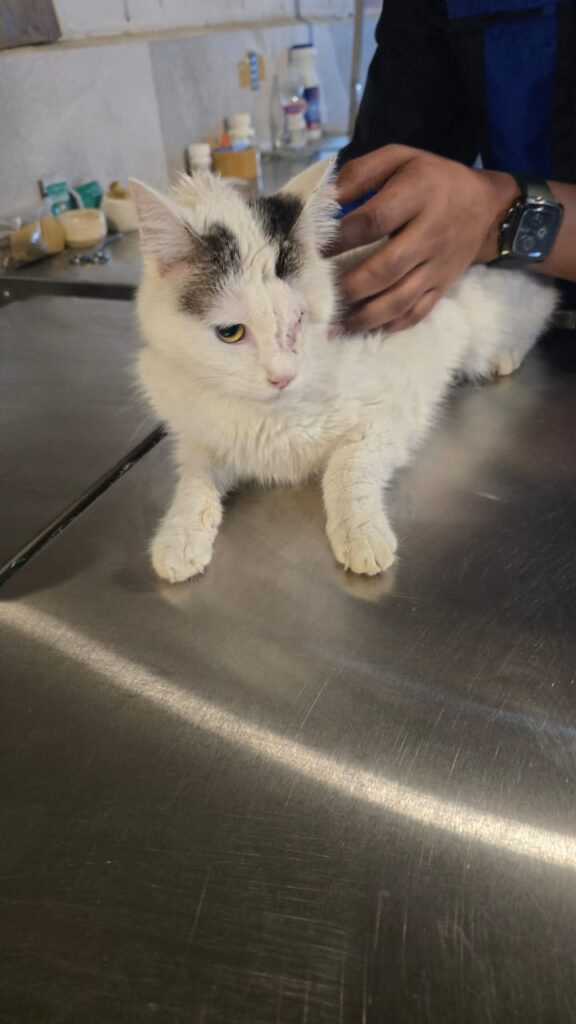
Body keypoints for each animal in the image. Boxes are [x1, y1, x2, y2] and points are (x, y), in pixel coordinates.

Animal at [130, 160, 555, 583]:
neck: (263, 415)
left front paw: (361, 533)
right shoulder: (197, 438)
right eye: (230, 332)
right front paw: (179, 534)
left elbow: (347, 466)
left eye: (300, 320)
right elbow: (194, 479)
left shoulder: (390, 413)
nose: (283, 377)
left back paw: (508, 353)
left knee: (541, 307)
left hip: (486, 319)